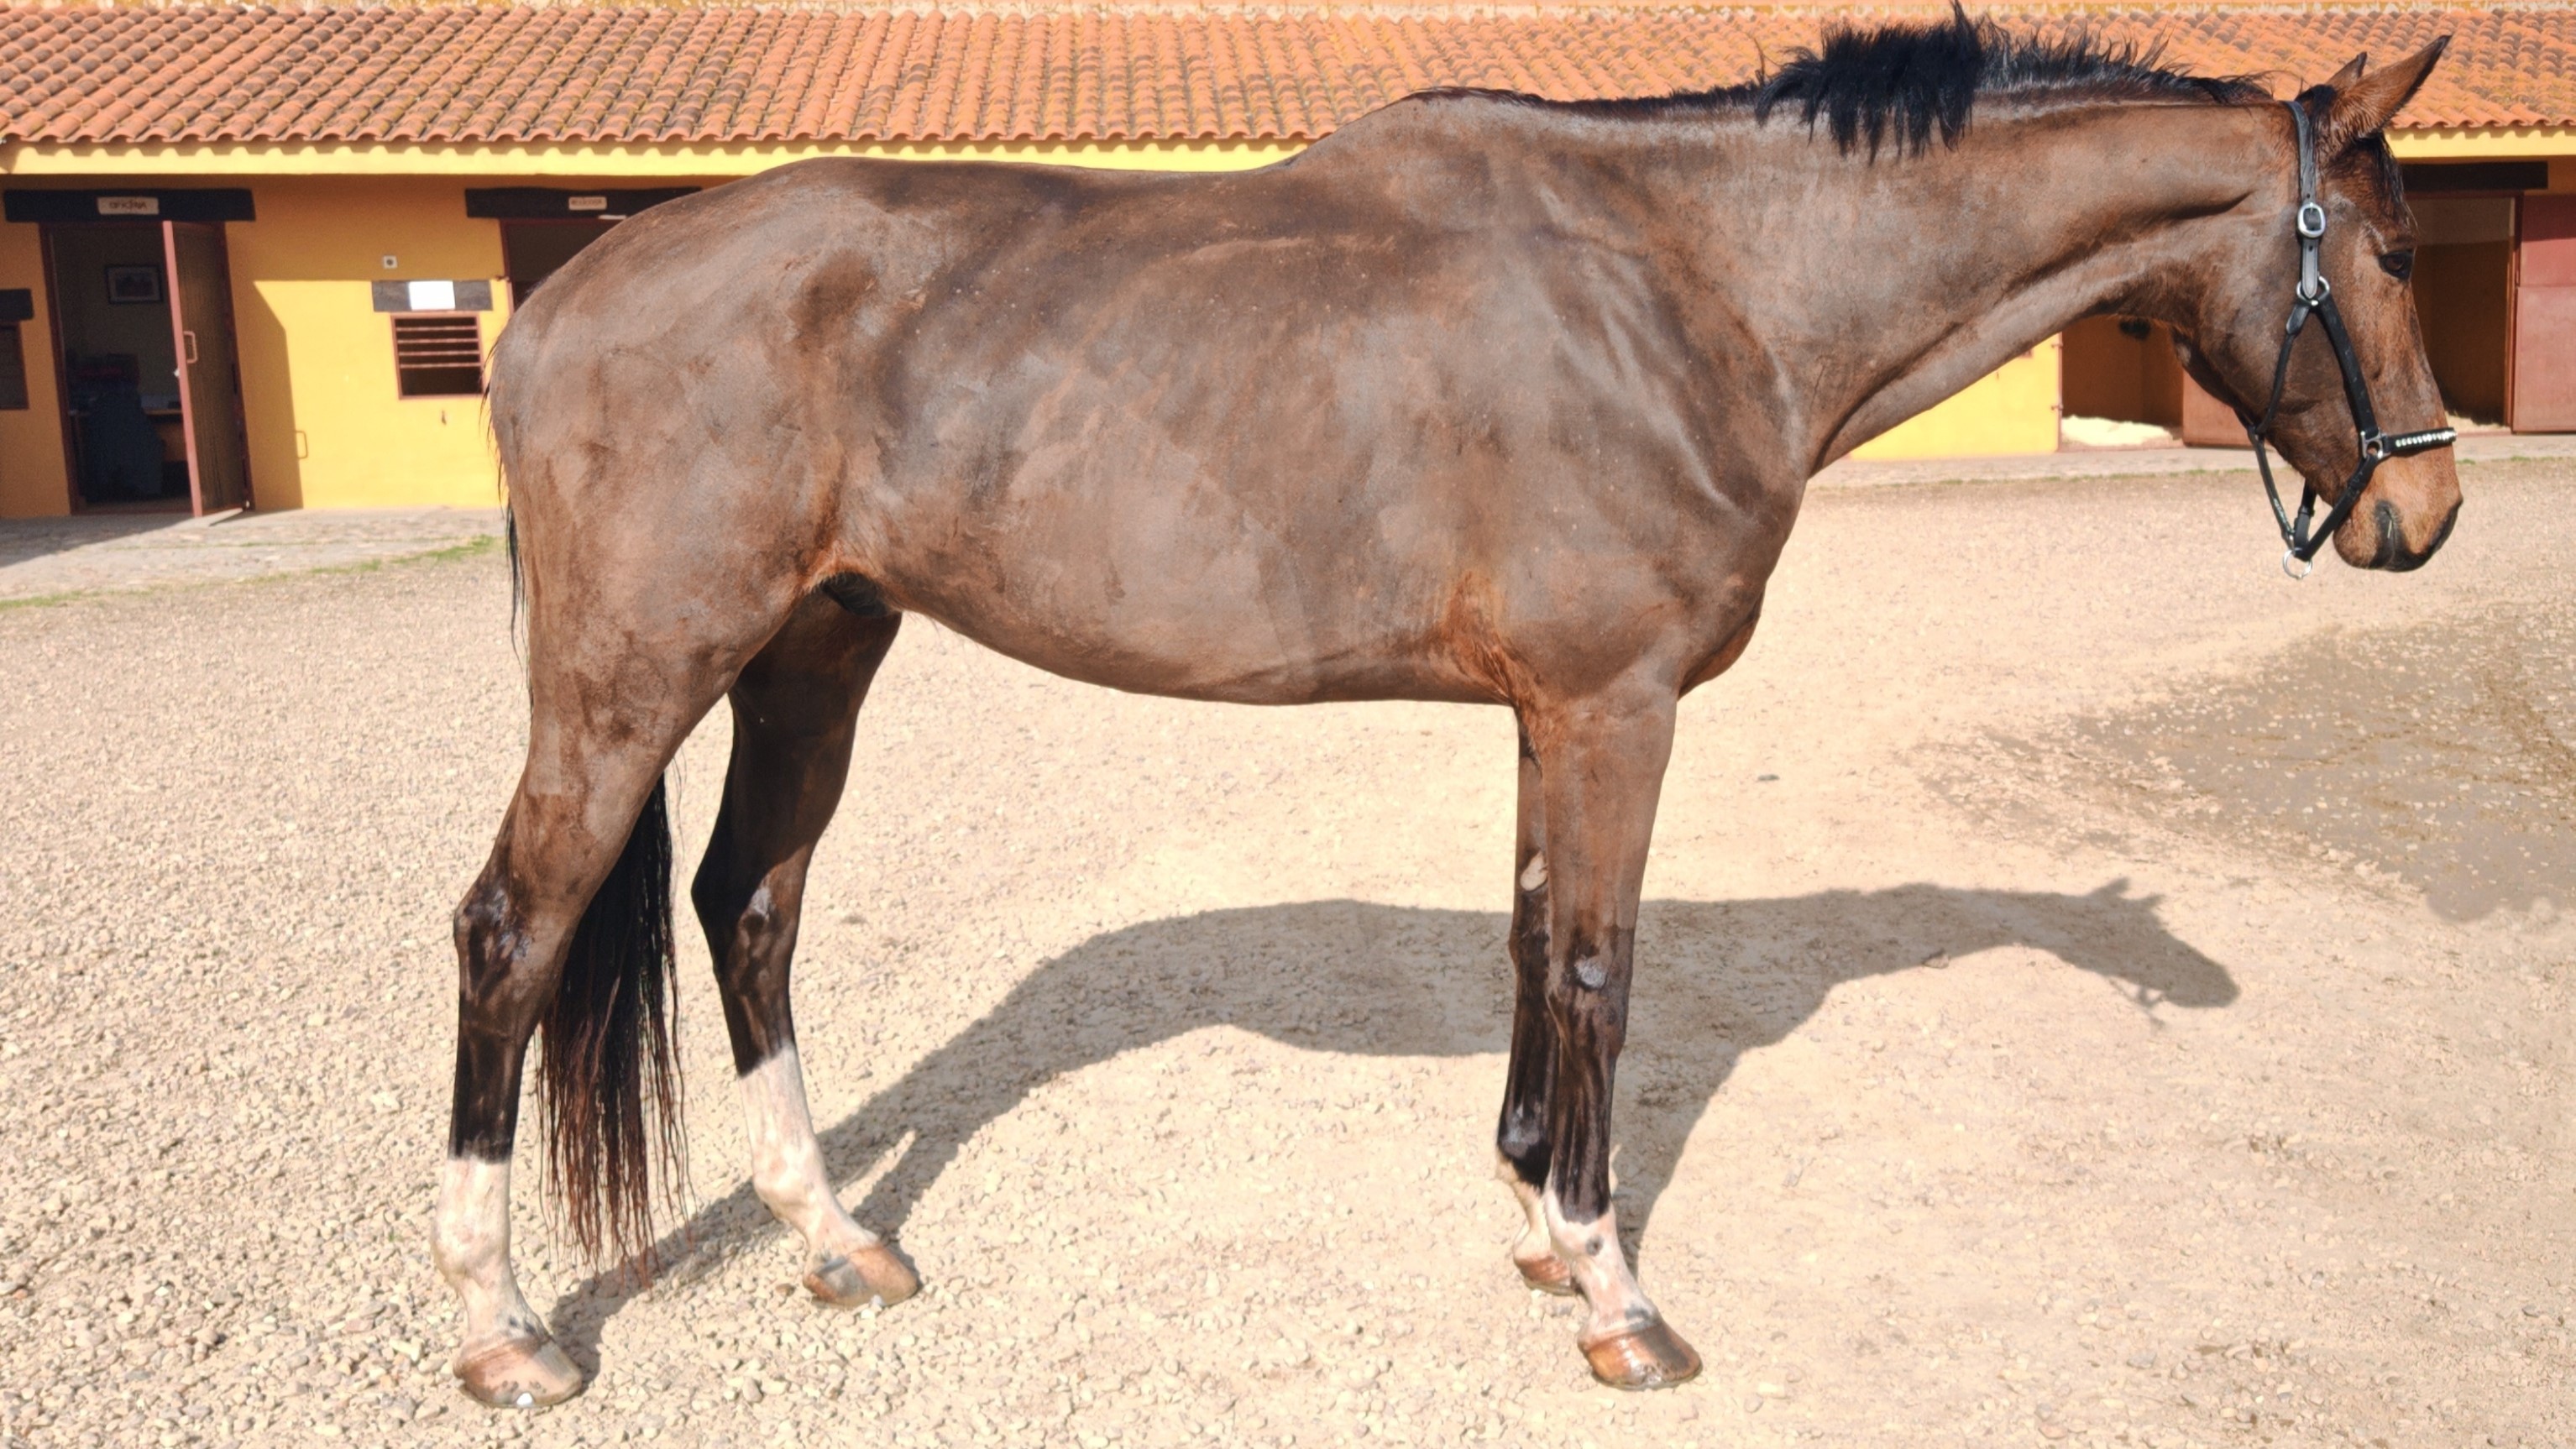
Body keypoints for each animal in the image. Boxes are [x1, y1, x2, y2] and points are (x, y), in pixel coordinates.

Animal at [431, 15, 2462, 1406]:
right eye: (2389, 252)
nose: (2421, 514)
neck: (1701, 287)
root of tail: (565, 295)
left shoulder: (1549, 718)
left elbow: (1529, 941)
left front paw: (1538, 1223)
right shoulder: (1616, 709)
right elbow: (1603, 969)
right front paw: (1614, 1289)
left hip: (817, 649)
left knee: (748, 905)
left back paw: (837, 1236)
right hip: (632, 680)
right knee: (514, 934)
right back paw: (506, 1328)